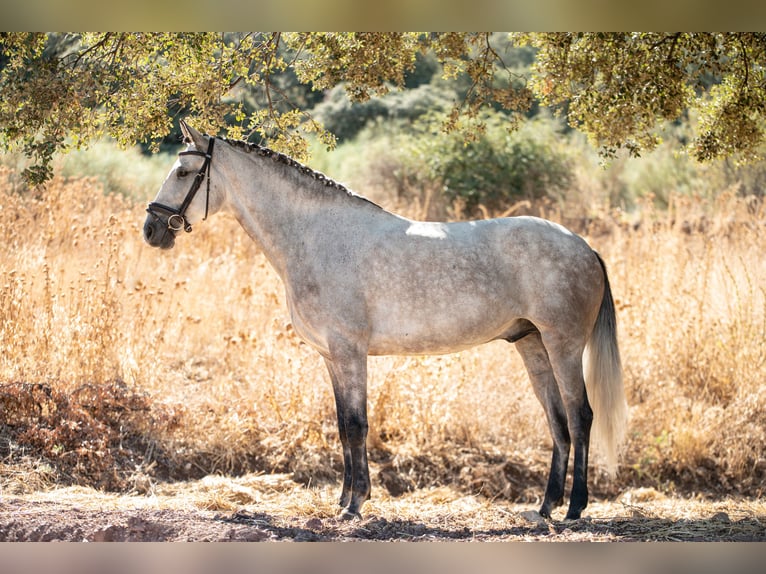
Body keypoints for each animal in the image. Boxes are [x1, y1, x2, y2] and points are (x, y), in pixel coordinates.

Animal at [144, 120, 632, 520]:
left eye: (184, 172)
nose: (151, 229)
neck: (317, 238)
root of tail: (583, 246)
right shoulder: (332, 357)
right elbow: (343, 425)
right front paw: (343, 500)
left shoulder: (349, 351)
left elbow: (357, 425)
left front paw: (355, 504)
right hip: (532, 344)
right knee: (557, 422)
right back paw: (545, 507)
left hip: (563, 345)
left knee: (580, 416)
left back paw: (574, 509)